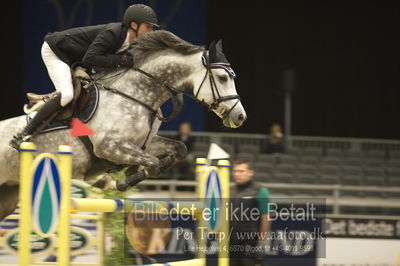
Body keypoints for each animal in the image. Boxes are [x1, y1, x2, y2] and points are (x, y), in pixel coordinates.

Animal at [0, 30, 245, 219]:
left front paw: (121, 178)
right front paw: (116, 181)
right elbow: (153, 164)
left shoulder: (143, 143)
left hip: (9, 196)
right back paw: (19, 138)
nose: (240, 117)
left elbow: (179, 149)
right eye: (223, 78)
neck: (137, 95)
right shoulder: (109, 147)